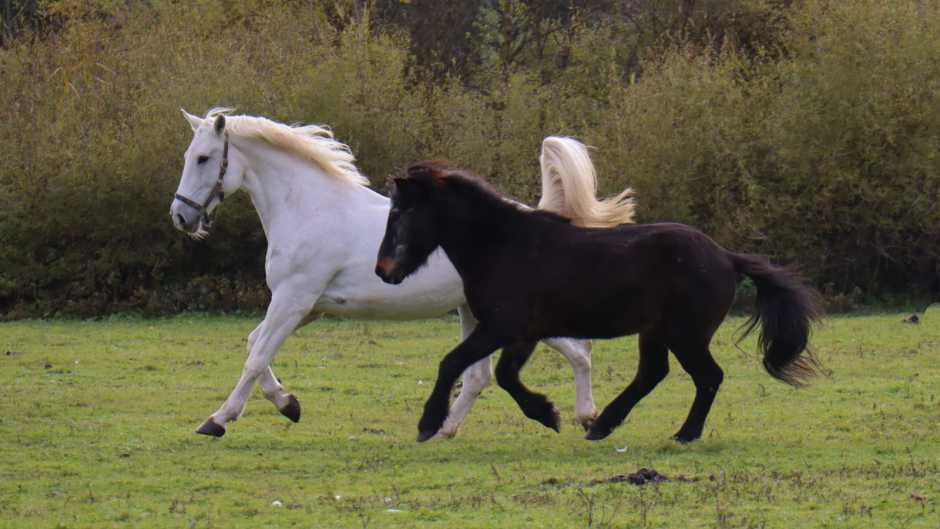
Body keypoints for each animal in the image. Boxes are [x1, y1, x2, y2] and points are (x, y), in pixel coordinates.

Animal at [170, 109, 637, 438]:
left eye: (204, 158)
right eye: (190, 157)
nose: (181, 217)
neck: (309, 208)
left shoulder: (294, 299)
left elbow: (254, 358)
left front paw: (217, 419)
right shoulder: (303, 306)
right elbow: (255, 347)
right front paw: (289, 404)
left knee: (578, 351)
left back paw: (585, 417)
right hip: (476, 313)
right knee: (484, 374)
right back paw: (450, 428)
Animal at [375, 162, 822, 443]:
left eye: (400, 213)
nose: (383, 270)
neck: (504, 247)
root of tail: (727, 257)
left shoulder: (501, 327)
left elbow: (453, 363)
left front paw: (428, 424)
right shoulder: (522, 334)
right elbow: (505, 376)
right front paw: (548, 414)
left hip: (686, 335)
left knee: (708, 376)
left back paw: (683, 434)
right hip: (657, 333)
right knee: (652, 374)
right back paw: (603, 425)